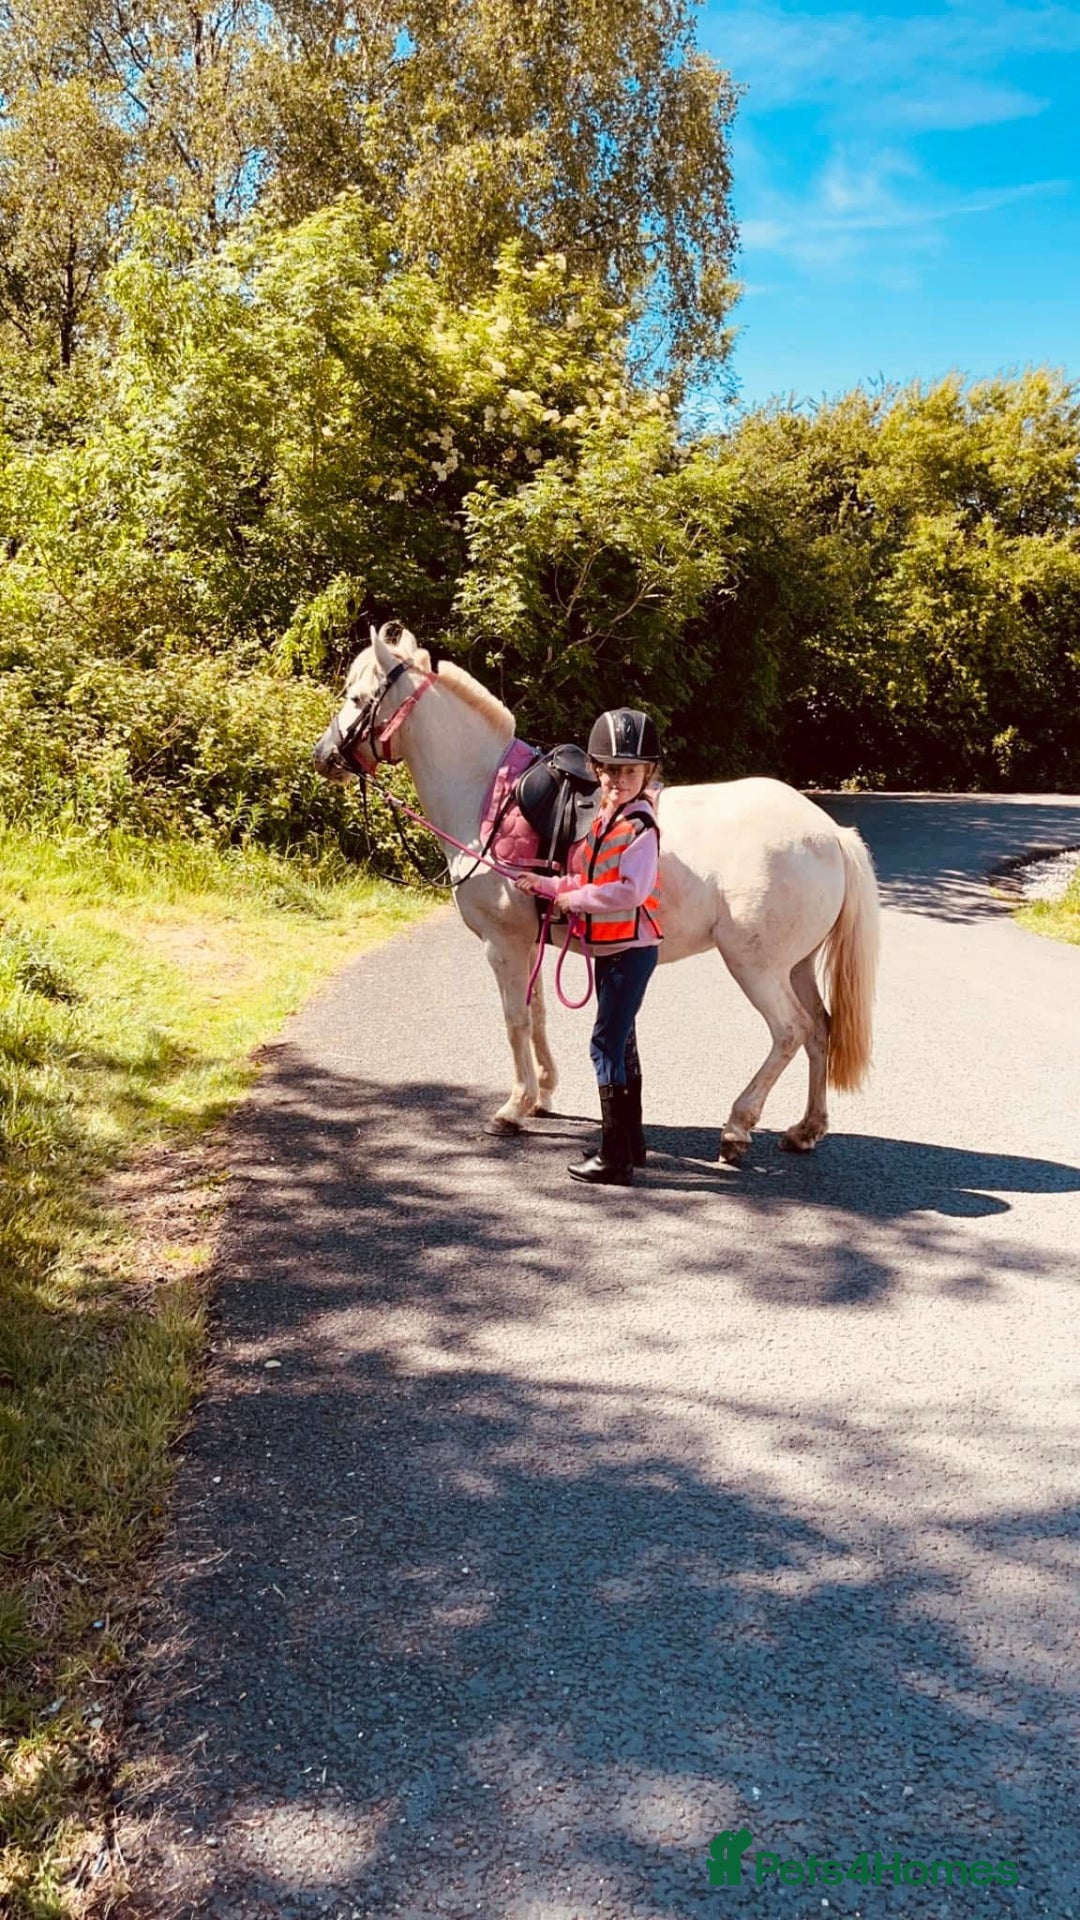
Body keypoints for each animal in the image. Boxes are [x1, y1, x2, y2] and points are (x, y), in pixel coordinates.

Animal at [313, 625, 880, 1162]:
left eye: (358, 698)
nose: (324, 755)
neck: (489, 798)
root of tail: (829, 833)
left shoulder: (503, 945)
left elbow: (515, 1019)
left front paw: (513, 1108)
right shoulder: (528, 943)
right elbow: (537, 1013)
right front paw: (541, 1094)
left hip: (756, 965)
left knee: (790, 1031)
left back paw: (737, 1127)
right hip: (796, 964)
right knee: (820, 1031)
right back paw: (806, 1129)